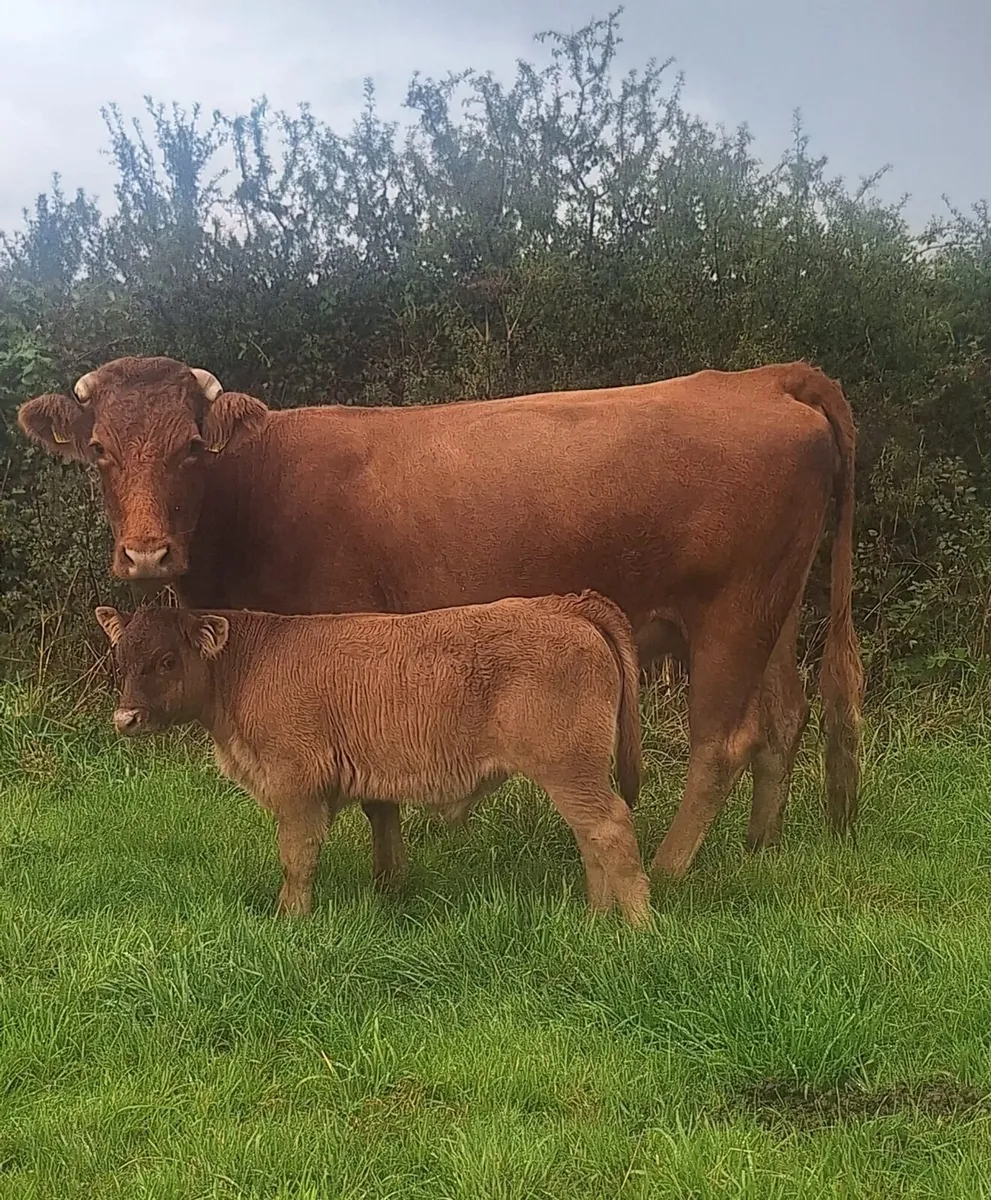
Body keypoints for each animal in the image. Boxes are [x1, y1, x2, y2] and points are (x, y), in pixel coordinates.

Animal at [20, 355, 864, 883]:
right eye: (99, 450)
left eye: (193, 447)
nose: (146, 554)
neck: (254, 489)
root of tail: (762, 379)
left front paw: (386, 878)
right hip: (772, 610)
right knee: (784, 715)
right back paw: (758, 846)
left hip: (730, 614)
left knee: (723, 743)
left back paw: (668, 868)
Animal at [93, 591, 651, 923]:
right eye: (122, 658)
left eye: (167, 660)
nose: (126, 719)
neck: (248, 665)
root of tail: (561, 604)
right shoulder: (374, 785)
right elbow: (386, 847)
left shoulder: (297, 785)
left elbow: (297, 858)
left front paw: (289, 917)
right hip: (576, 776)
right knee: (590, 837)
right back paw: (598, 918)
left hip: (571, 770)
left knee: (610, 829)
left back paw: (637, 925)